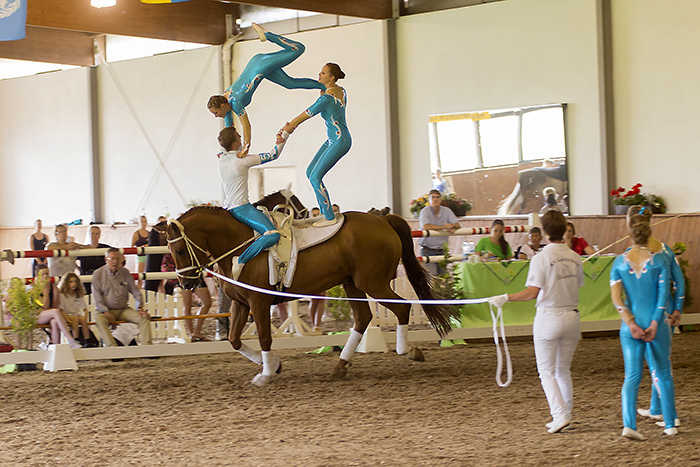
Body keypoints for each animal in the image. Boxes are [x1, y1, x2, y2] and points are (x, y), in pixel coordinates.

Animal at [156, 207, 456, 386]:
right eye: (170, 251)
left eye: (179, 250)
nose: (186, 283)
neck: (240, 246)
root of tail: (382, 218)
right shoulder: (241, 303)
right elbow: (234, 340)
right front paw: (274, 365)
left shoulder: (259, 303)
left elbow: (264, 337)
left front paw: (266, 374)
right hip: (352, 283)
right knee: (362, 318)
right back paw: (340, 366)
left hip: (373, 283)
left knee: (402, 309)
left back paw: (409, 351)